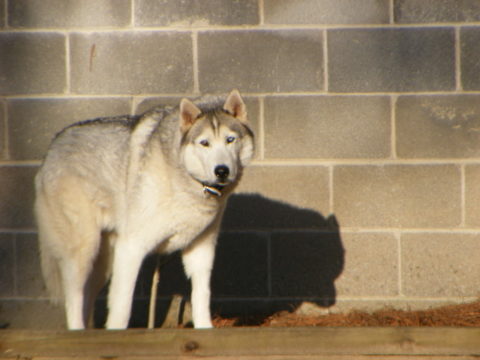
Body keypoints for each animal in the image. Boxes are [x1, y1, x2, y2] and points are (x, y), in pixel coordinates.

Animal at [34, 90, 255, 330]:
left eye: (230, 140)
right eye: (204, 143)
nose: (221, 171)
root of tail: (50, 150)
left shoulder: (201, 249)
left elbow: (201, 296)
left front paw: (205, 329)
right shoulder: (131, 248)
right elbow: (122, 309)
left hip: (103, 264)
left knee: (87, 300)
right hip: (84, 251)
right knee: (74, 299)